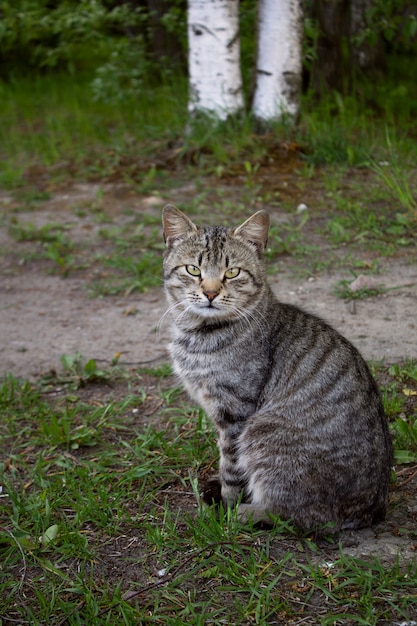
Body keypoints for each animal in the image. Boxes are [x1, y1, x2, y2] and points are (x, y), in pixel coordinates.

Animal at [161, 205, 392, 532]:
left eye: (232, 272)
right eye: (193, 270)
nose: (210, 293)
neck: (199, 333)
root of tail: (372, 510)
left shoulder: (235, 412)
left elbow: (231, 468)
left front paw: (226, 509)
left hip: (264, 432)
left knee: (295, 514)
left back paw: (246, 513)